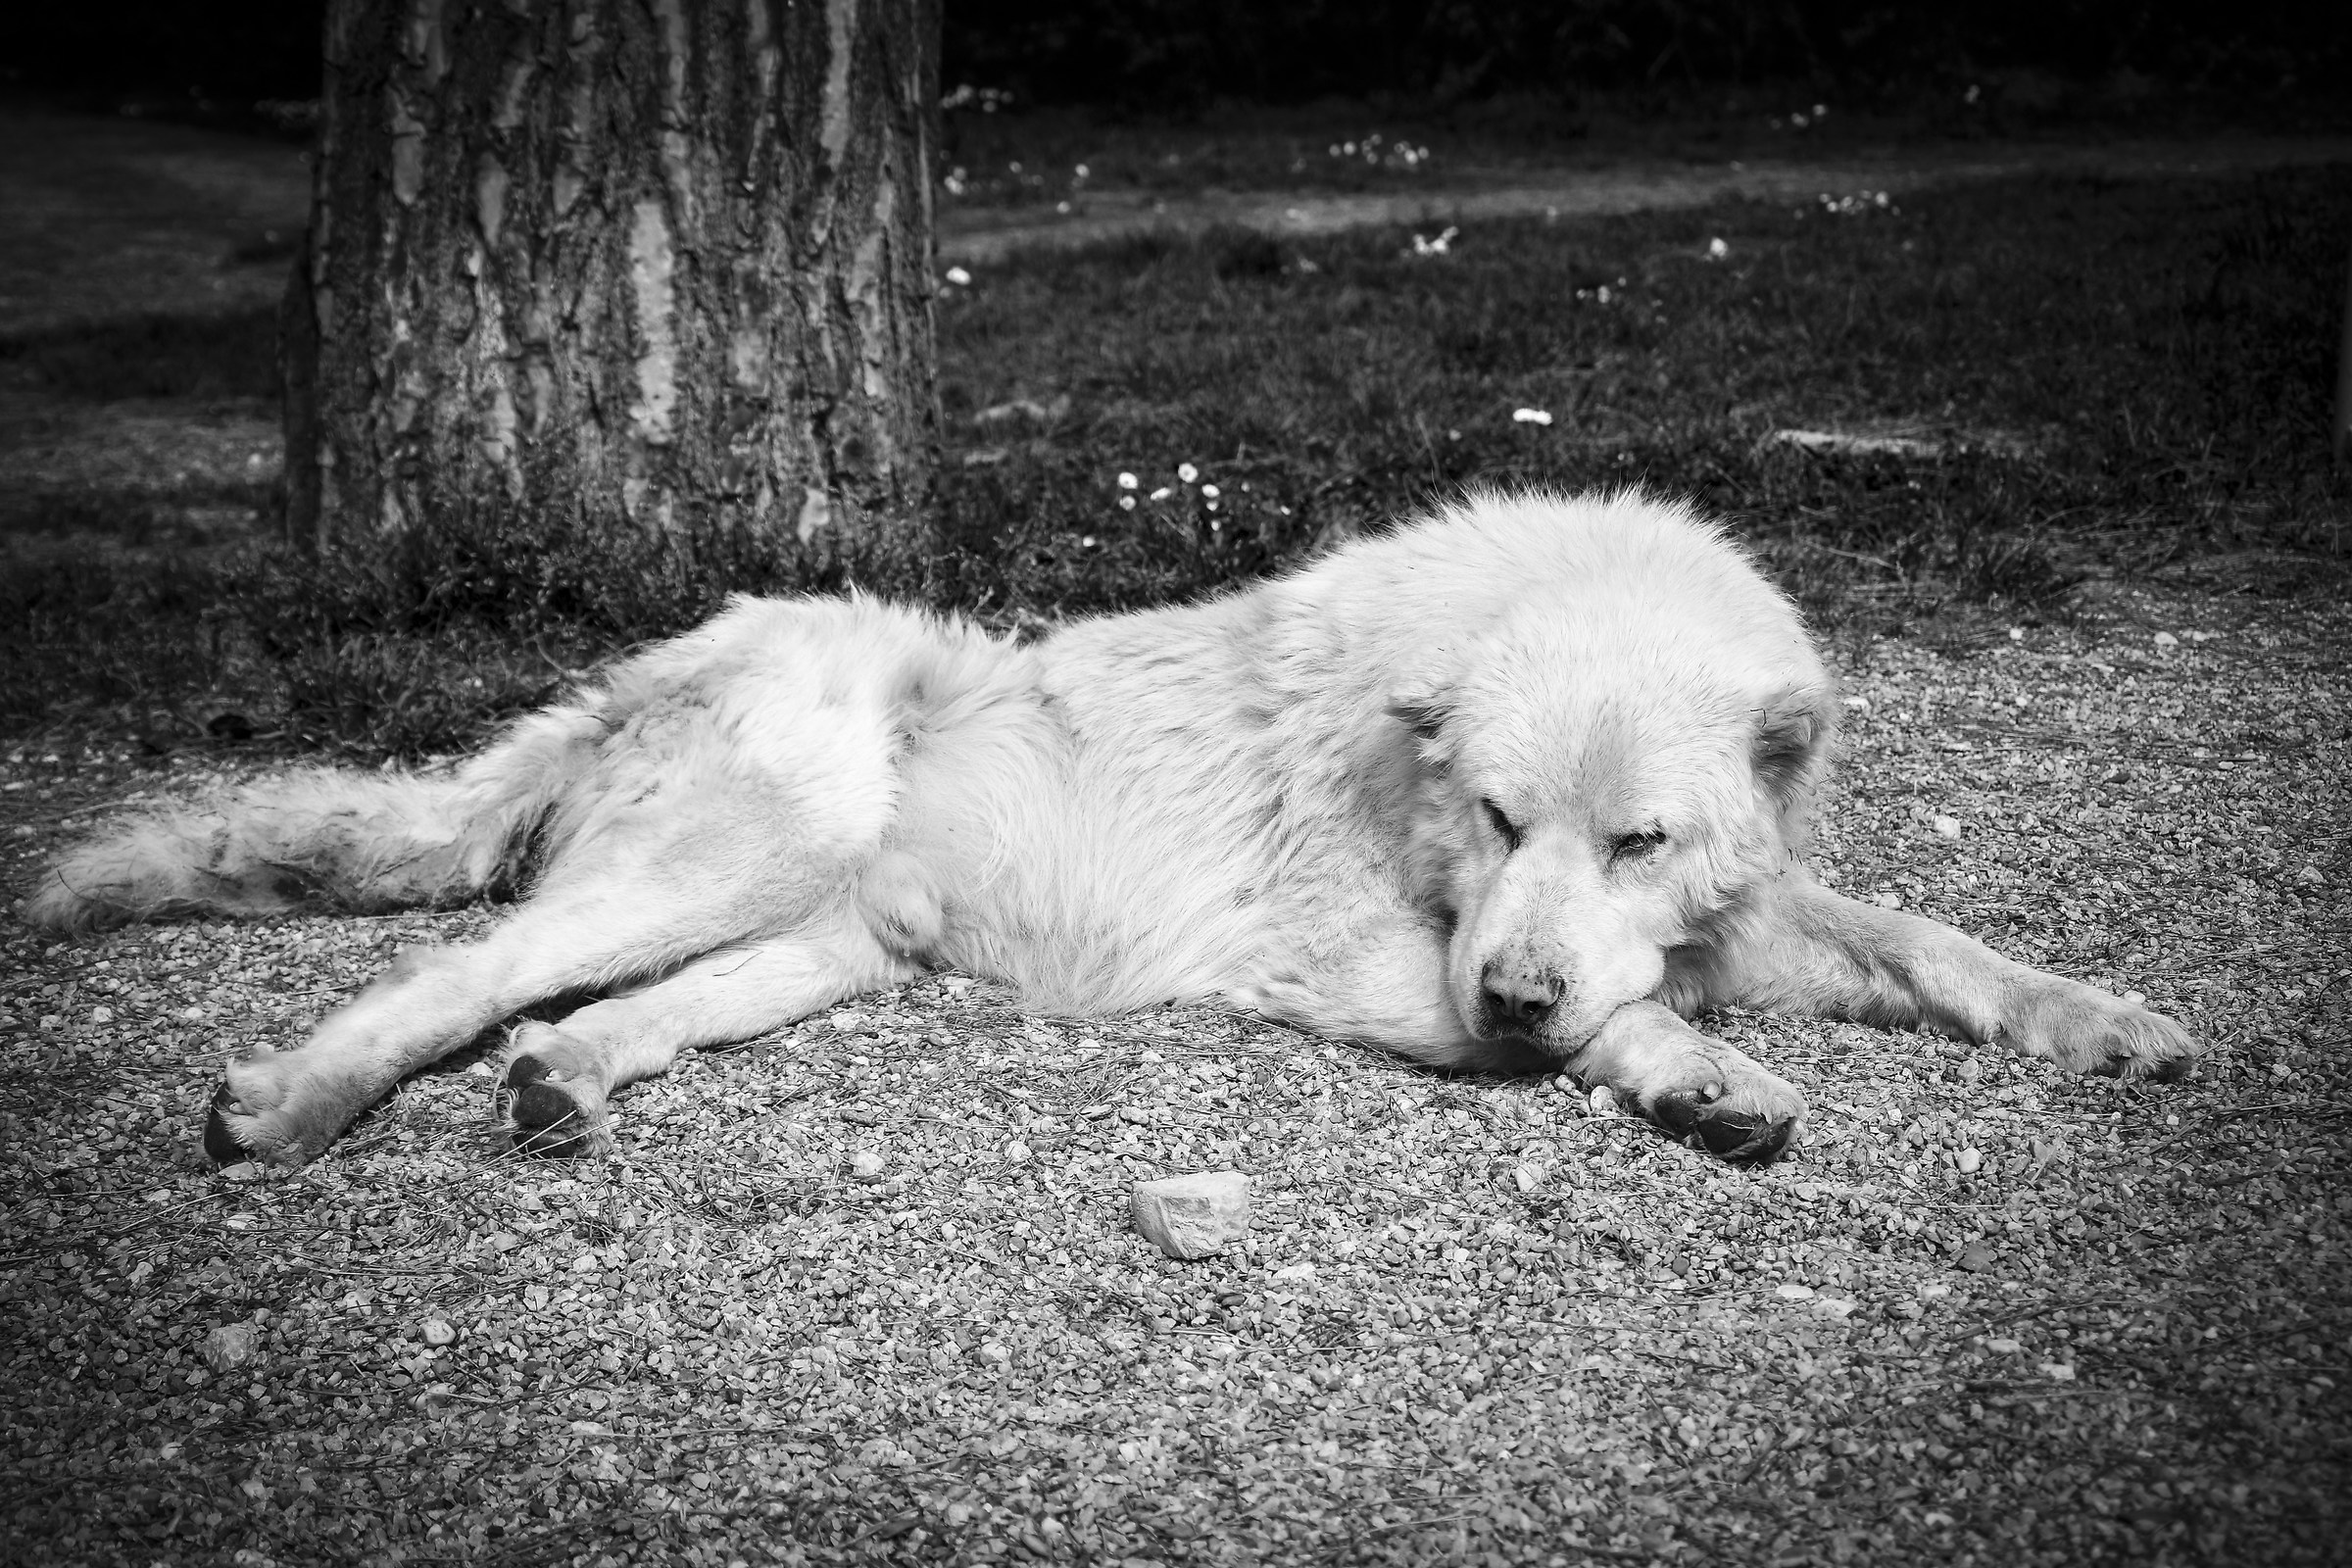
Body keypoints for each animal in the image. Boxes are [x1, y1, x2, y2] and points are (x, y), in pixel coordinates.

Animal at [24, 491, 2197, 1169]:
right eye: (1500, 815)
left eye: (1643, 840)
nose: (1509, 993)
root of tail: (669, 645)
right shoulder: (1375, 959)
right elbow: (1625, 1016)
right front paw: (1697, 1077)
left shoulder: (1745, 905)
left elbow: (1924, 938)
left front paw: (2106, 1020)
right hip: (748, 841)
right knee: (460, 968)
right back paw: (292, 1101)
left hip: (822, 945)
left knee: (586, 1012)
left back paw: (569, 1084)